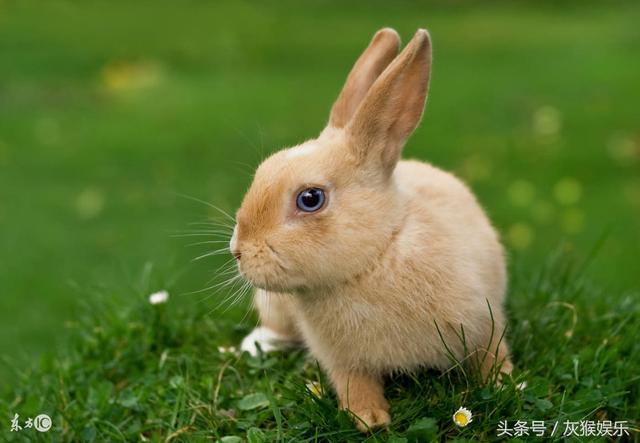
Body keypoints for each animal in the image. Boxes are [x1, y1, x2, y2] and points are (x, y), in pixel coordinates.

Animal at [228, 26, 512, 430]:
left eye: (310, 198)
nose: (238, 250)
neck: (377, 255)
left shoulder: (483, 321)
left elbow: (493, 353)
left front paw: (507, 385)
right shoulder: (343, 361)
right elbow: (354, 384)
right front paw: (370, 419)